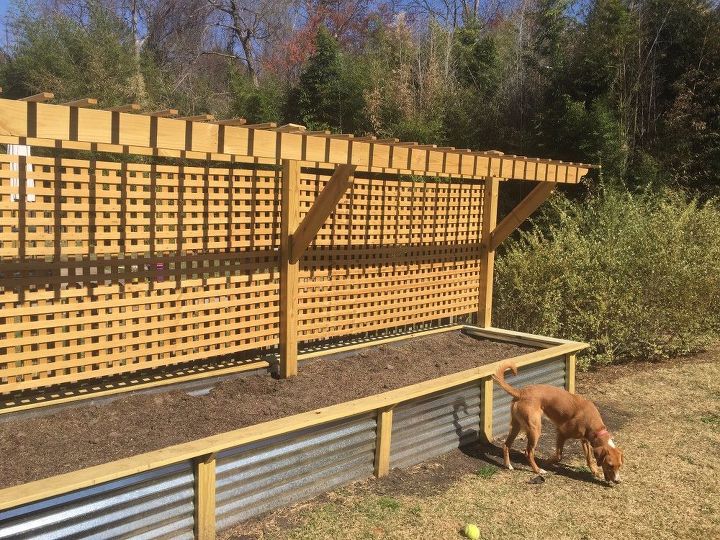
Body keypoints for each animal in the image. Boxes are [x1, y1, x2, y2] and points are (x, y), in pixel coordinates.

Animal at [496, 360, 624, 484]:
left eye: (619, 466)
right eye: (610, 465)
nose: (617, 481)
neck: (594, 424)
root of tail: (520, 392)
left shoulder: (585, 440)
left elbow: (589, 458)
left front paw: (595, 472)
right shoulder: (561, 433)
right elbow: (558, 456)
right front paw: (546, 463)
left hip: (516, 426)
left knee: (506, 445)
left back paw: (508, 465)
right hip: (535, 430)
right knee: (528, 452)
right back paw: (538, 470)